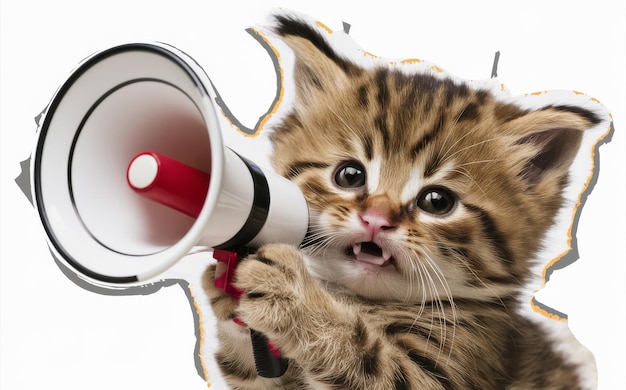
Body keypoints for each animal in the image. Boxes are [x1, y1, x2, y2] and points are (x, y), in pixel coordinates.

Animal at [202, 12, 596, 390]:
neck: (364, 303)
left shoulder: (442, 371)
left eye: (437, 201)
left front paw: (290, 295)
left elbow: (367, 358)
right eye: (349, 175)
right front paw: (225, 295)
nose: (376, 218)